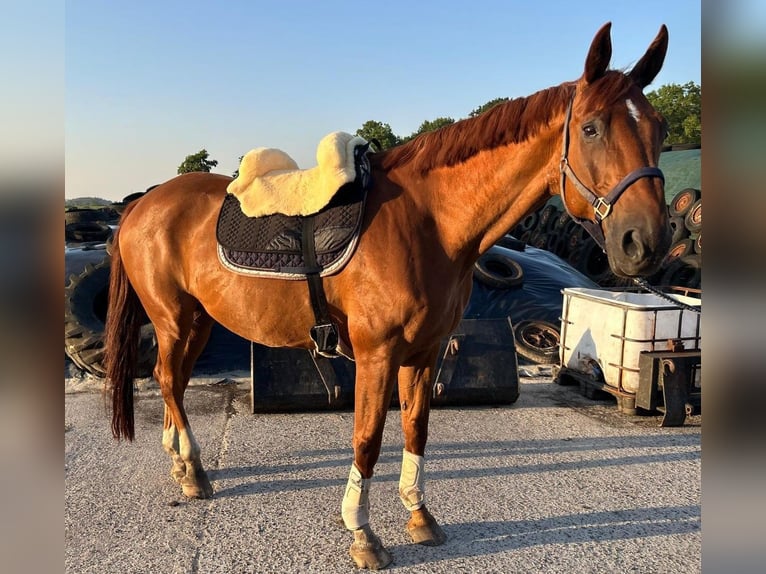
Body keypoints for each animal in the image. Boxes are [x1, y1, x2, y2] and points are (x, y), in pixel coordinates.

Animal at [106, 23, 672, 572]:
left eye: (660, 128)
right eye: (591, 128)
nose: (644, 242)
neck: (427, 222)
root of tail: (140, 205)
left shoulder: (425, 351)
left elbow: (416, 429)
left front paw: (419, 516)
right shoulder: (376, 354)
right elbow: (368, 440)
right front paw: (363, 535)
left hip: (198, 320)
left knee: (174, 382)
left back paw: (183, 464)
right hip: (174, 319)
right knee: (168, 381)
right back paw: (194, 472)